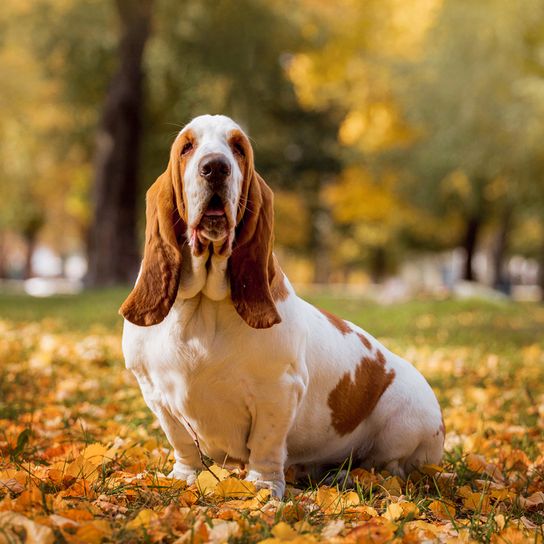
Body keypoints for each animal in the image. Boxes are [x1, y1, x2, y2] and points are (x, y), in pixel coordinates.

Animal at [118, 115, 442, 498]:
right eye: (187, 147)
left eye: (238, 148)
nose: (215, 167)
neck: (204, 304)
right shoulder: (156, 394)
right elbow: (182, 442)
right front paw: (184, 478)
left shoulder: (277, 391)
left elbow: (266, 444)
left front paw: (263, 487)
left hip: (407, 422)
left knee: (389, 468)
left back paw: (345, 477)